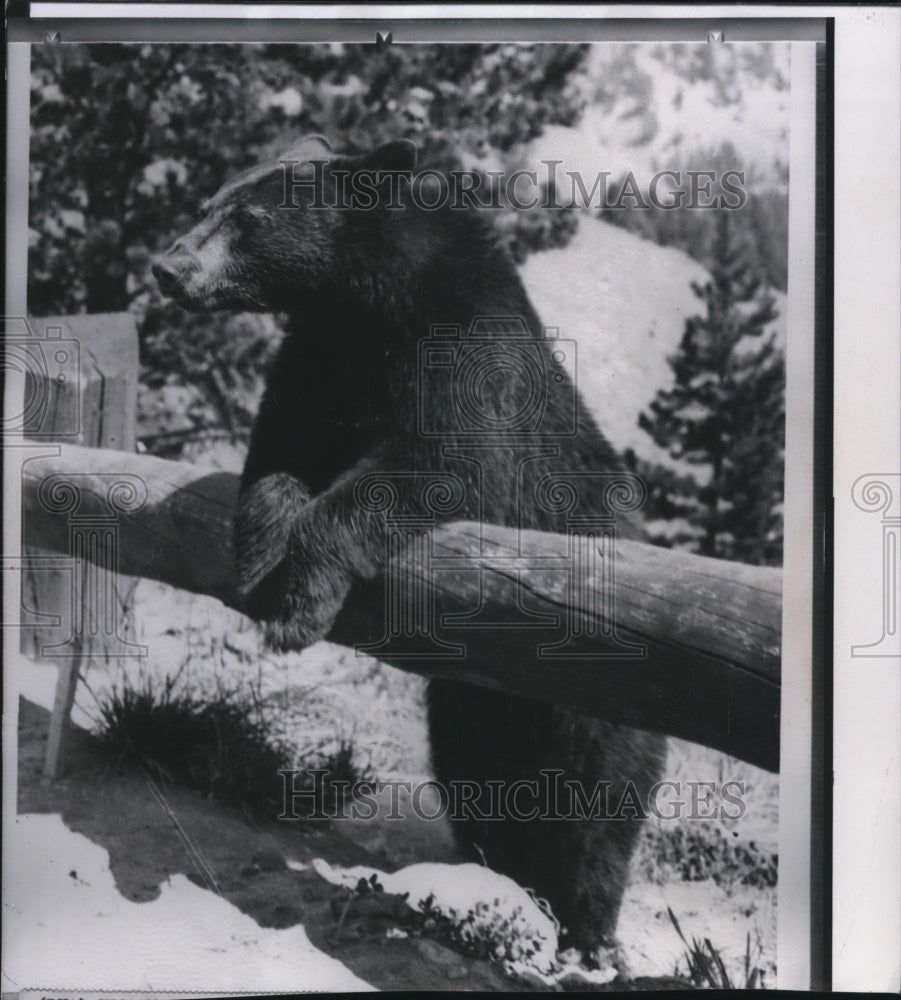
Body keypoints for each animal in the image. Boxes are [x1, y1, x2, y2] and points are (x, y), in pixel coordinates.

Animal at [153, 135, 660, 960]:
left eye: (250, 220)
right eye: (207, 204)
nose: (167, 269)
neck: (363, 303)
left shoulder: (464, 351)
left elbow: (437, 465)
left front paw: (297, 607)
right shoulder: (317, 355)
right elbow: (280, 448)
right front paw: (260, 560)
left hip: (599, 698)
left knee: (595, 810)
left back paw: (584, 932)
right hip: (466, 703)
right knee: (482, 783)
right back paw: (496, 875)